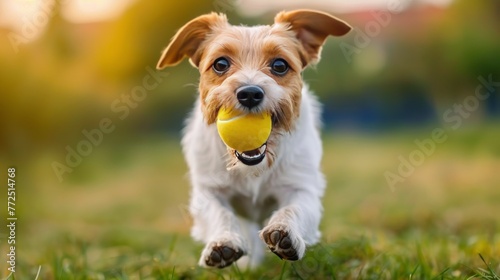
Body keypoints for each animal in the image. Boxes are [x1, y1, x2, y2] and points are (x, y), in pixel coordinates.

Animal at [156, 9, 352, 268]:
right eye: (220, 64)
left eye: (279, 65)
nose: (249, 93)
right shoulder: (208, 191)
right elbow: (220, 213)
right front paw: (223, 242)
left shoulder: (301, 187)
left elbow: (294, 208)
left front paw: (285, 231)